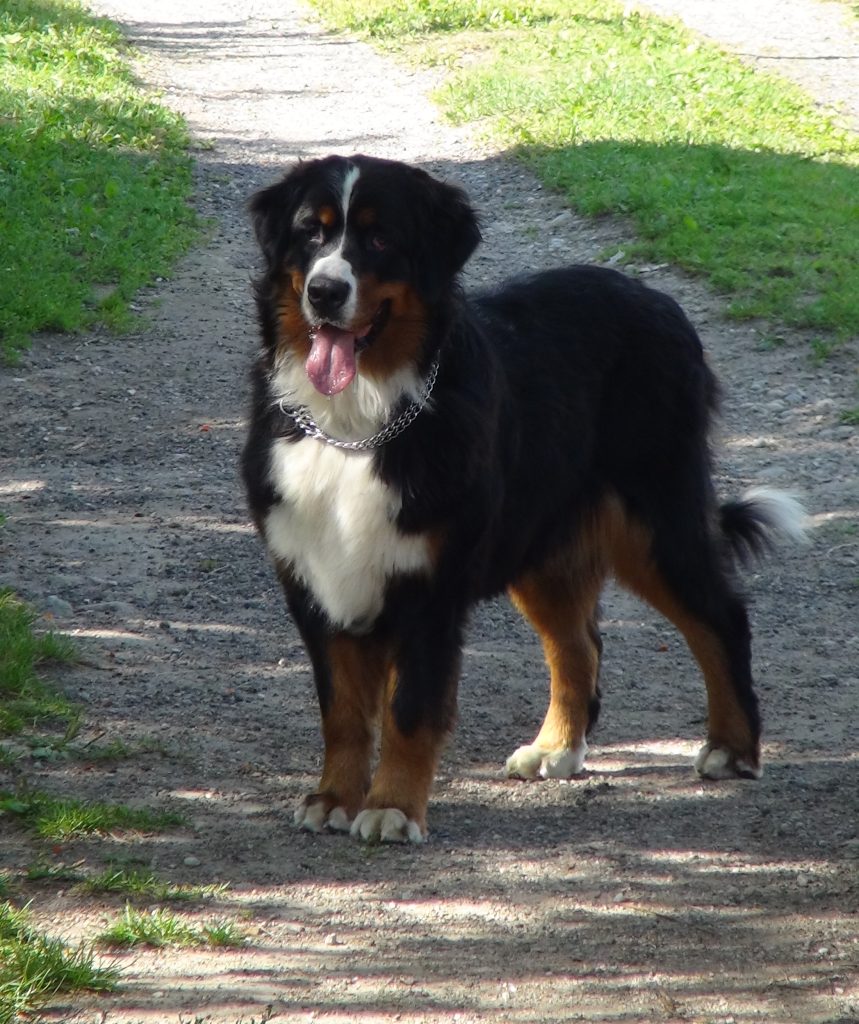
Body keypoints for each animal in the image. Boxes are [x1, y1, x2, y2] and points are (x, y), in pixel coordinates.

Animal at [241, 149, 806, 839]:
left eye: (379, 239)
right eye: (310, 233)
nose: (324, 292)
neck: (356, 425)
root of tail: (657, 299)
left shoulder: (429, 587)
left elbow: (411, 710)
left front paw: (393, 806)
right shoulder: (315, 580)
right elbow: (343, 712)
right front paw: (333, 798)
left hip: (657, 519)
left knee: (721, 619)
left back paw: (733, 748)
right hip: (543, 545)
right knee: (577, 646)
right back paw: (556, 748)